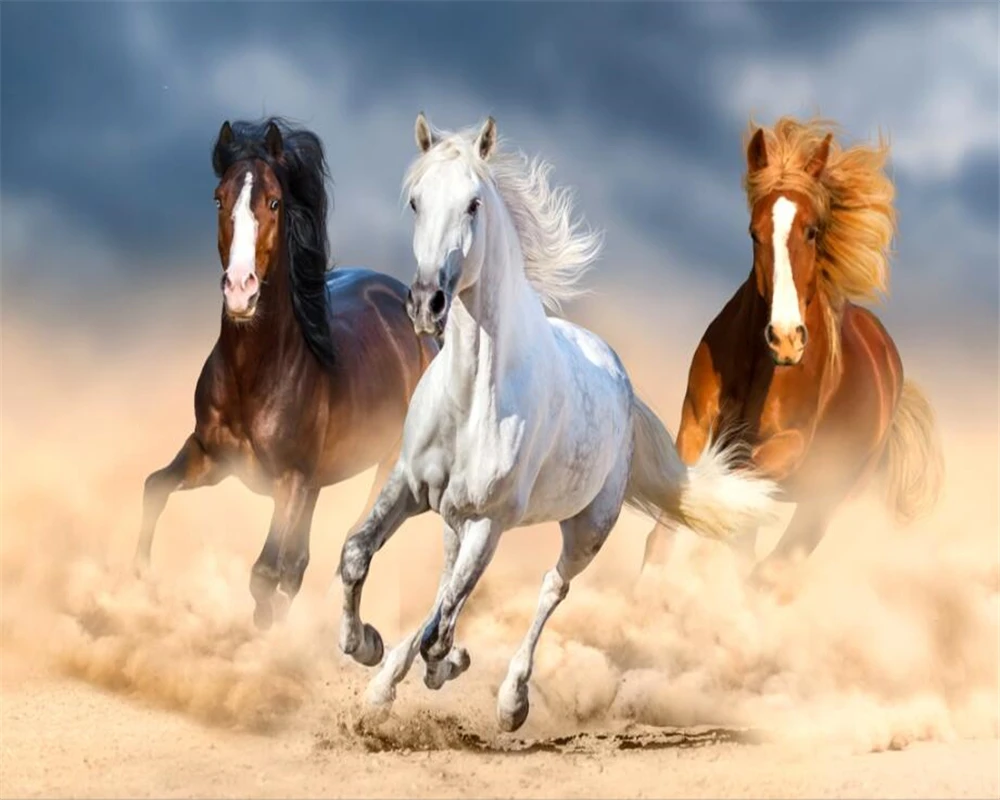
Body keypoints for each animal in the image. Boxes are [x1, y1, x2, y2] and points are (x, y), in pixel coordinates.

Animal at [134, 118, 437, 628]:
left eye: (274, 202)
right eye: (219, 198)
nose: (240, 290)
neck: (255, 374)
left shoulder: (290, 482)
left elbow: (264, 572)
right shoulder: (211, 457)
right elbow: (155, 487)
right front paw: (137, 582)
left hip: (385, 466)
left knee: (347, 544)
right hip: (315, 483)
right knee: (300, 562)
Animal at [335, 112, 780, 733]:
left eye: (473, 203)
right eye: (416, 201)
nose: (427, 303)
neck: (472, 399)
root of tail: (621, 380)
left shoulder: (491, 520)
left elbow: (443, 625)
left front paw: (445, 665)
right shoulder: (409, 485)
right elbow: (358, 556)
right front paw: (366, 647)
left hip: (586, 528)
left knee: (549, 588)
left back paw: (510, 701)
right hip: (455, 517)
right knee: (449, 585)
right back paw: (388, 682)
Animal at [641, 117, 944, 585]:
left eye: (812, 230)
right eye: (754, 232)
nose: (785, 339)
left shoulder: (788, 448)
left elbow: (726, 487)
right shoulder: (694, 422)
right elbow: (674, 514)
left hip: (826, 501)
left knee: (773, 565)